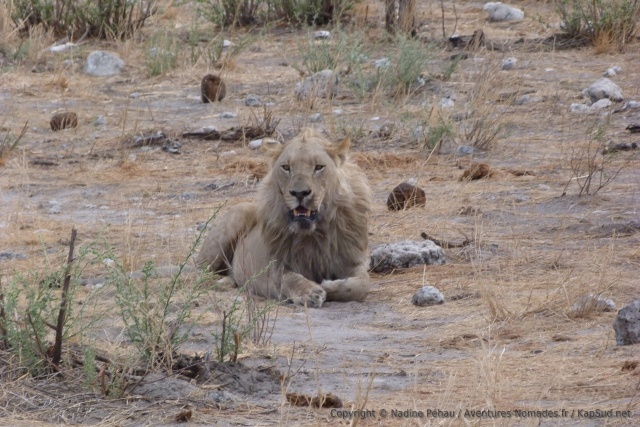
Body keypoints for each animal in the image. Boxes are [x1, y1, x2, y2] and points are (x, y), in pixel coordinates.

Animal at [196, 128, 372, 308]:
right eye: (286, 167)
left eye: (319, 167)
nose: (299, 193)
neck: (314, 234)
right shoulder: (273, 265)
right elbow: (288, 278)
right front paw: (310, 292)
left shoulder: (351, 259)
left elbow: (362, 284)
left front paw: (330, 285)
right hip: (236, 217)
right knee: (199, 271)